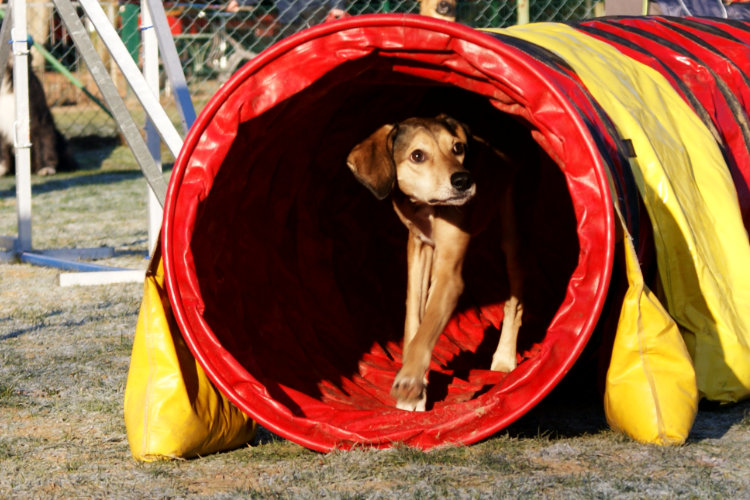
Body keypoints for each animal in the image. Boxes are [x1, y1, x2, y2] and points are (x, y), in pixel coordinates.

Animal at [346, 114, 524, 410]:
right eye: (417, 155)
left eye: (458, 147)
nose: (464, 180)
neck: (426, 207)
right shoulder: (417, 248)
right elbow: (414, 321)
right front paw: (415, 388)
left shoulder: (449, 274)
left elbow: (427, 325)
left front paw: (410, 381)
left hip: (510, 236)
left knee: (515, 301)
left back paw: (504, 359)